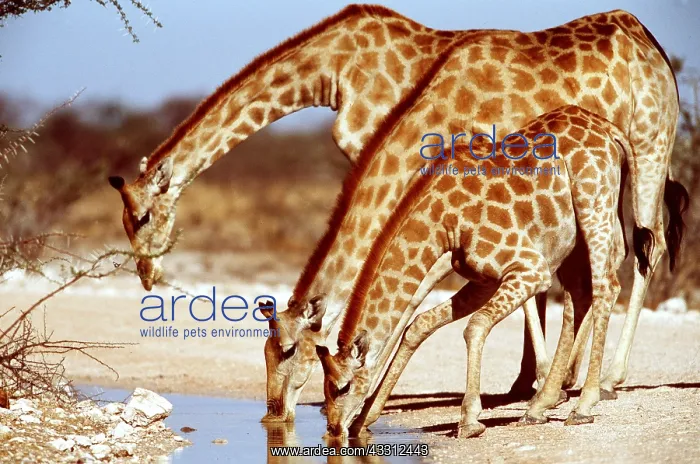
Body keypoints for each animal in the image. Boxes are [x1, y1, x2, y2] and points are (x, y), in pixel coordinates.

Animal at [317, 105, 629, 438]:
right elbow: (419, 324)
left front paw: (469, 420)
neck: (442, 224)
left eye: (343, 386)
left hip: (594, 206)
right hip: (573, 237)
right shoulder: (484, 281)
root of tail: (608, 129)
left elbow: (474, 325)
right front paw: (365, 420)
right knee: (581, 296)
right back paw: (538, 408)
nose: (333, 428)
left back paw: (583, 406)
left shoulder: (531, 269)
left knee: (606, 286)